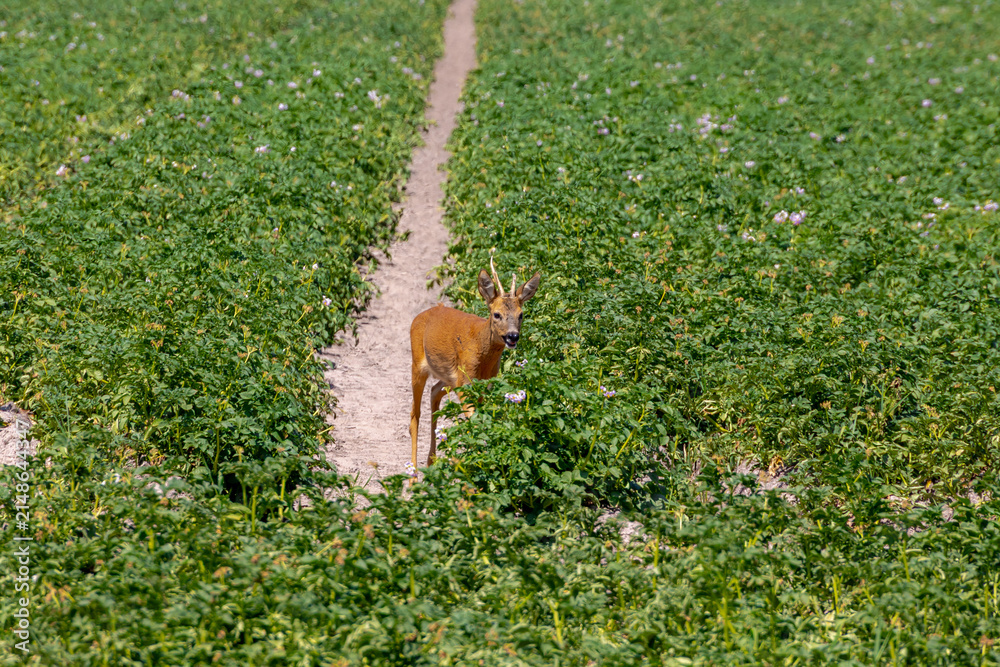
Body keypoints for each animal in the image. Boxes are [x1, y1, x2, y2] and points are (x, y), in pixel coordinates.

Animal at [409, 259, 540, 468]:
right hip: (417, 364)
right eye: (496, 314)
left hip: (449, 377)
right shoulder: (465, 383)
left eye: (521, 315)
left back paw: (432, 461)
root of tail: (419, 316)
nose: (512, 336)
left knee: (434, 392)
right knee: (414, 414)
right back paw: (414, 471)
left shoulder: (483, 385)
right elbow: (474, 421)